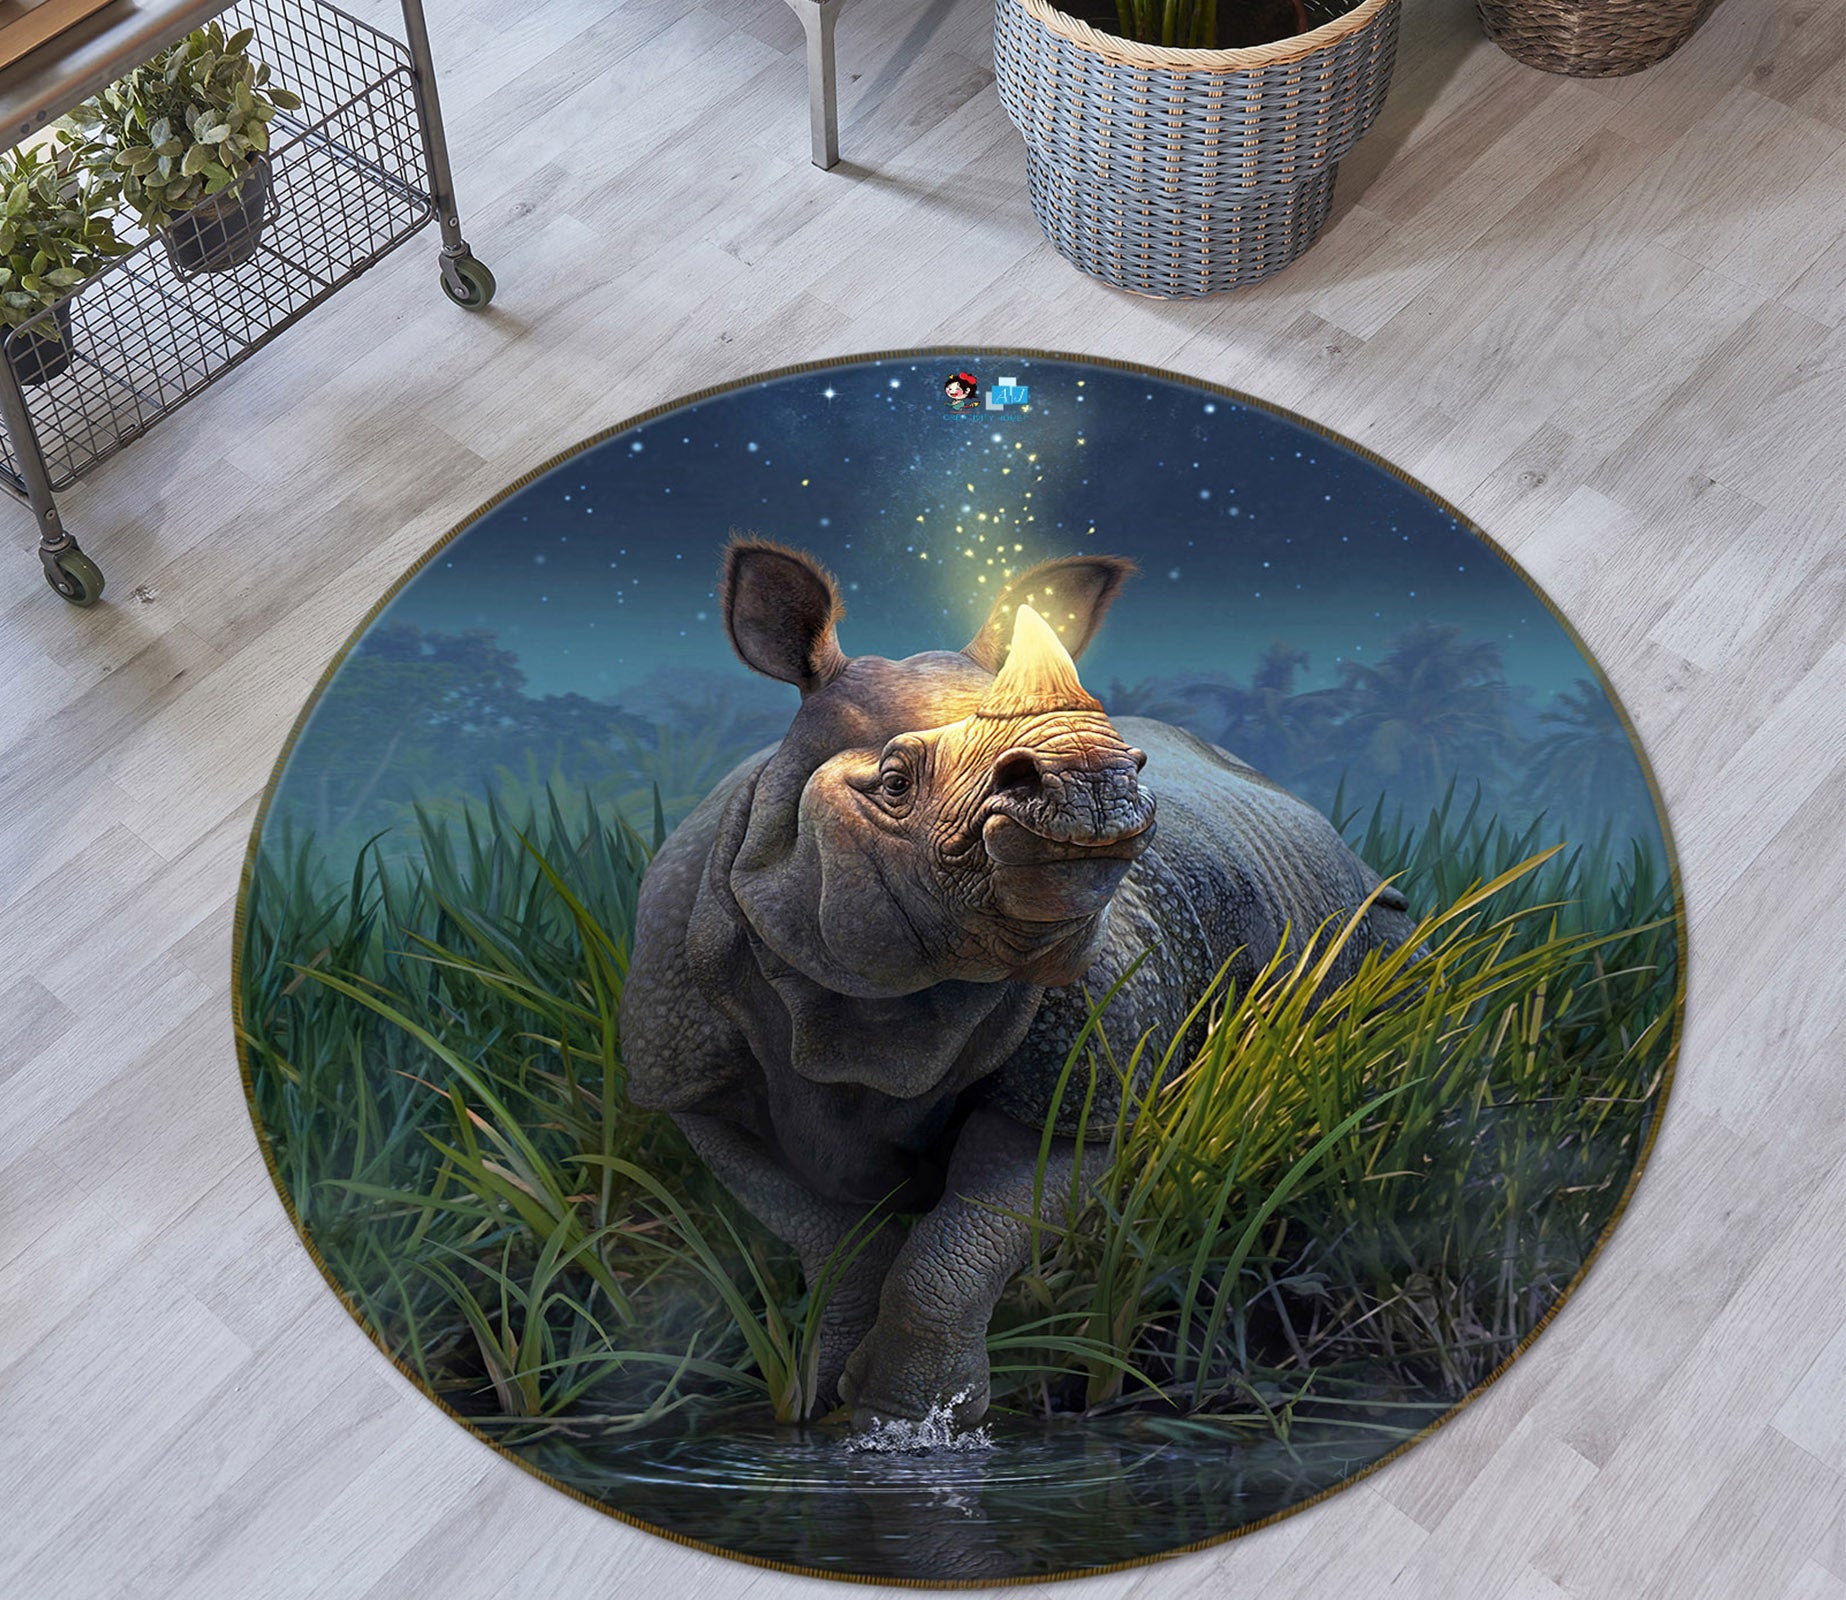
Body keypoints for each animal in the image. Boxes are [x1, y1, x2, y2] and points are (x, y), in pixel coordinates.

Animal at [621, 541, 1417, 1429]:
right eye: (894, 783)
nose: (1096, 781)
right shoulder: (691, 1078)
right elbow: (831, 1240)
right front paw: (826, 1409)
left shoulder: (1087, 1086)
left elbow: (966, 1242)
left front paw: (912, 1417)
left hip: (1372, 914)